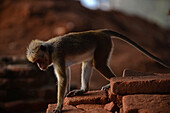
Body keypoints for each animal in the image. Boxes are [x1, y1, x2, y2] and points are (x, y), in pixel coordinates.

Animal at [25, 28, 169, 112]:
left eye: (38, 60)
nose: (40, 67)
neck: (50, 48)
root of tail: (100, 31)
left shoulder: (57, 54)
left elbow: (62, 78)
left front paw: (59, 106)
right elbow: (66, 73)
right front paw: (65, 96)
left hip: (103, 43)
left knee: (98, 63)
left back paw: (110, 83)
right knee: (87, 63)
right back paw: (83, 90)